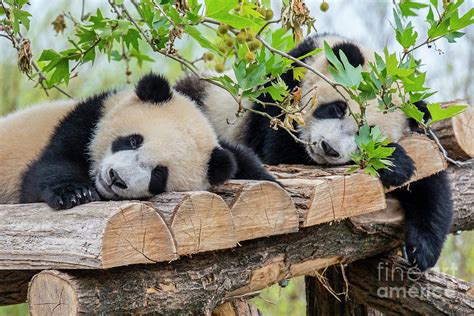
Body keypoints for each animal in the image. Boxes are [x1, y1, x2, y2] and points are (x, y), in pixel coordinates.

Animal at [0, 72, 274, 210]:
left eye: (159, 174)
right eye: (133, 141)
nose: (116, 178)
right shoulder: (85, 120)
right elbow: (47, 169)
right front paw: (75, 192)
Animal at [175, 35, 456, 272]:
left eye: (368, 134)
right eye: (337, 108)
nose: (328, 148)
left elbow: (429, 176)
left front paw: (422, 249)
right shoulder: (280, 93)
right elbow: (277, 153)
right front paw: (395, 163)